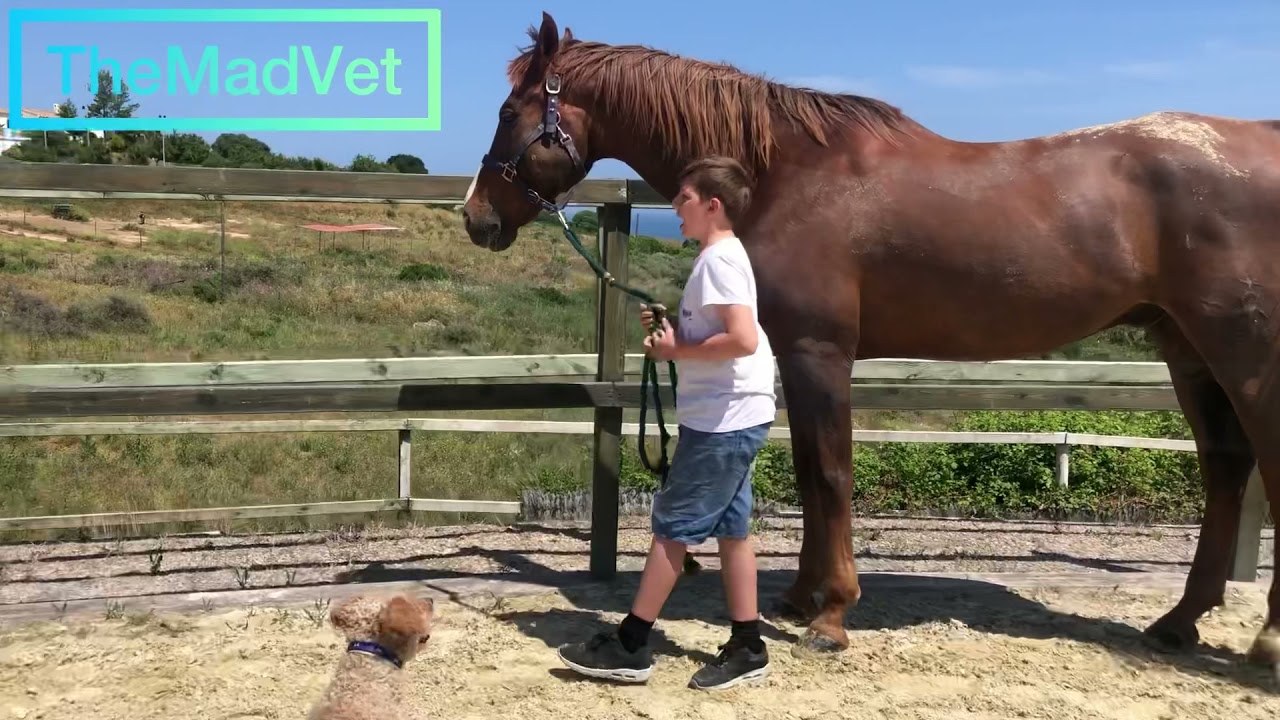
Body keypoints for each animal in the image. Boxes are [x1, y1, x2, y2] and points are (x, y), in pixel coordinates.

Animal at [461, 11, 1280, 670]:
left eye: (508, 109)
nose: (478, 218)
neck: (785, 171)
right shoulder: (795, 355)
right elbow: (809, 474)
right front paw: (799, 598)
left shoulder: (821, 351)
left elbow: (830, 474)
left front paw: (830, 616)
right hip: (1186, 348)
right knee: (1226, 466)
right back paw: (1178, 622)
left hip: (1244, 355)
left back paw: (1263, 642)